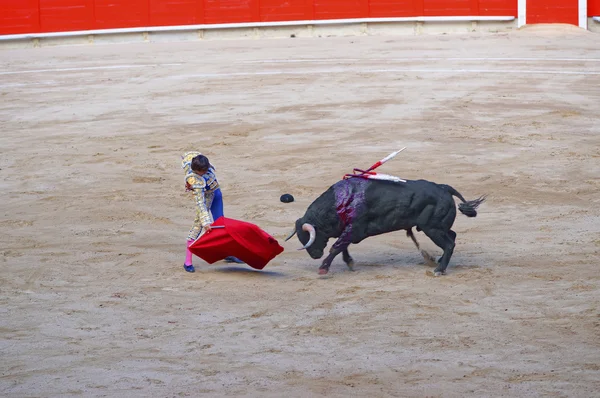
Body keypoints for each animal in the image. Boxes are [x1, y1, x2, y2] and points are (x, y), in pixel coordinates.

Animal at [284, 178, 486, 276]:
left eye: (311, 237)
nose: (315, 255)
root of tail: (444, 188)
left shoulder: (355, 229)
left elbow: (336, 247)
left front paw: (324, 268)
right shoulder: (350, 230)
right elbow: (343, 246)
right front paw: (349, 262)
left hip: (433, 229)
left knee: (449, 244)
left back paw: (439, 270)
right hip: (436, 227)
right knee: (452, 236)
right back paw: (437, 261)